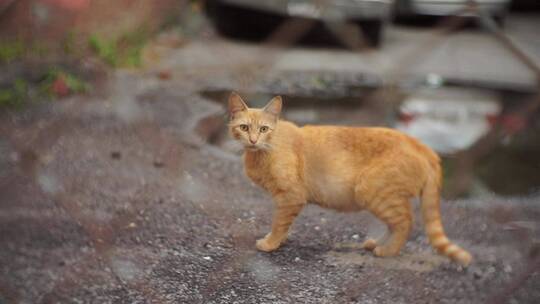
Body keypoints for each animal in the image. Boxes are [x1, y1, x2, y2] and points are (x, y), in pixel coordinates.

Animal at [228, 91, 472, 264]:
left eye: (264, 129)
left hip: (371, 192)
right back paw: (376, 244)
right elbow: (284, 223)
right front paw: (281, 239)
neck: (263, 151)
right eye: (244, 127)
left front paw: (271, 243)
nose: (252, 140)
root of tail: (423, 147)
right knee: (396, 224)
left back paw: (387, 250)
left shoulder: (291, 197)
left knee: (405, 223)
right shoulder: (287, 201)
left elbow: (279, 223)